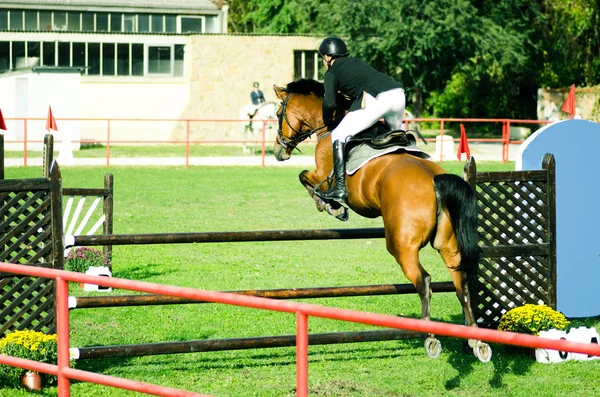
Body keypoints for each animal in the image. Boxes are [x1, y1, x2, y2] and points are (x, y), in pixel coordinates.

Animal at [274, 79, 490, 360]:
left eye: (278, 114)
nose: (279, 152)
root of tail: (434, 179)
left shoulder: (322, 174)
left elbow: (305, 178)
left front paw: (331, 205)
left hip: (401, 246)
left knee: (424, 281)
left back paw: (430, 338)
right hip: (448, 245)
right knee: (461, 283)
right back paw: (476, 341)